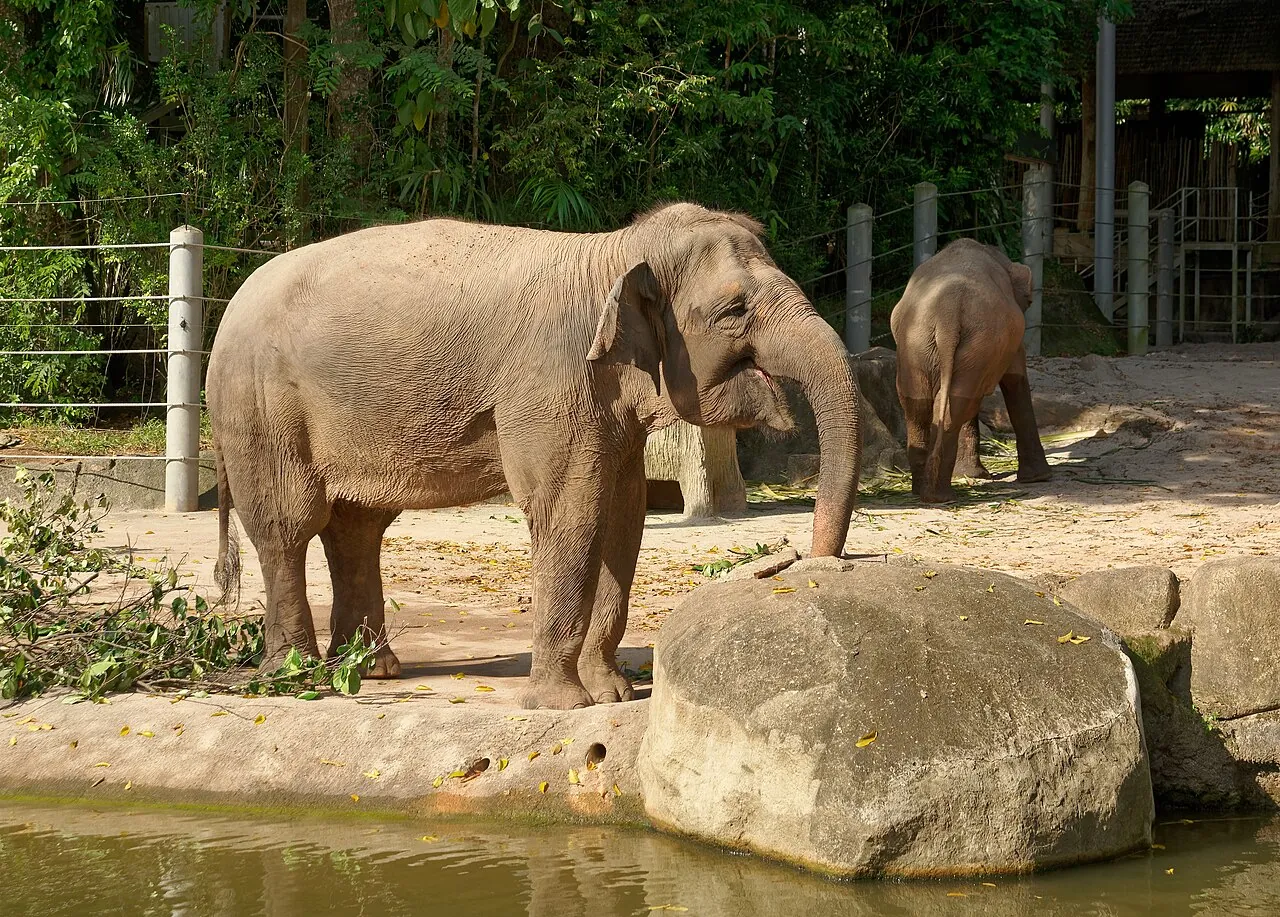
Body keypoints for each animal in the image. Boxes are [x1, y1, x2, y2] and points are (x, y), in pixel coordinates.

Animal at [207, 203, 862, 710]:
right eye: (733, 312)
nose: (804, 564)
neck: (615, 250)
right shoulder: (551, 385)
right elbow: (569, 511)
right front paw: (564, 705)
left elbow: (624, 514)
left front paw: (614, 694)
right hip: (260, 409)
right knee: (290, 526)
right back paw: (298, 678)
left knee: (355, 527)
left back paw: (370, 669)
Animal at [889, 238, 1051, 503]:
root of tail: (947, 313)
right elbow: (1015, 380)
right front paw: (1039, 478)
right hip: (974, 341)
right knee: (958, 403)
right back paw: (940, 495)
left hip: (917, 342)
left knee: (921, 405)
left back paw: (924, 492)